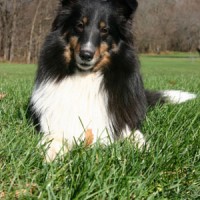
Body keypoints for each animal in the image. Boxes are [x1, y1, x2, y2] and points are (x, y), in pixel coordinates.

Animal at [28, 0, 196, 161]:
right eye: (79, 25)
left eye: (105, 30)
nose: (86, 55)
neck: (86, 76)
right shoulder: (56, 124)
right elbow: (55, 139)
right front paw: (50, 155)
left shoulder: (122, 123)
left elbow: (136, 137)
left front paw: (145, 153)